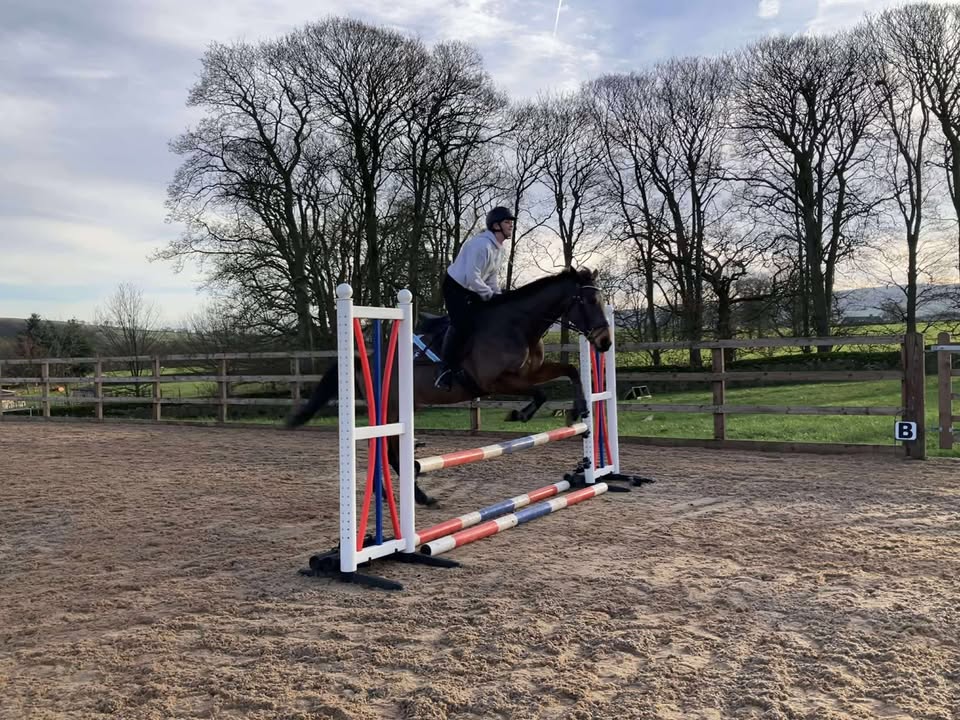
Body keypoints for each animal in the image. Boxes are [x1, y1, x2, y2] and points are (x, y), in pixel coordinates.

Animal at [286, 267, 613, 506]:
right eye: (588, 302)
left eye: (601, 302)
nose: (605, 343)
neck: (518, 324)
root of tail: (365, 358)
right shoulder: (494, 382)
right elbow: (540, 393)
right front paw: (518, 414)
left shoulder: (532, 371)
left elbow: (570, 371)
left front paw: (581, 409)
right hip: (391, 408)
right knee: (390, 453)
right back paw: (418, 497)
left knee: (385, 451)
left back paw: (393, 496)